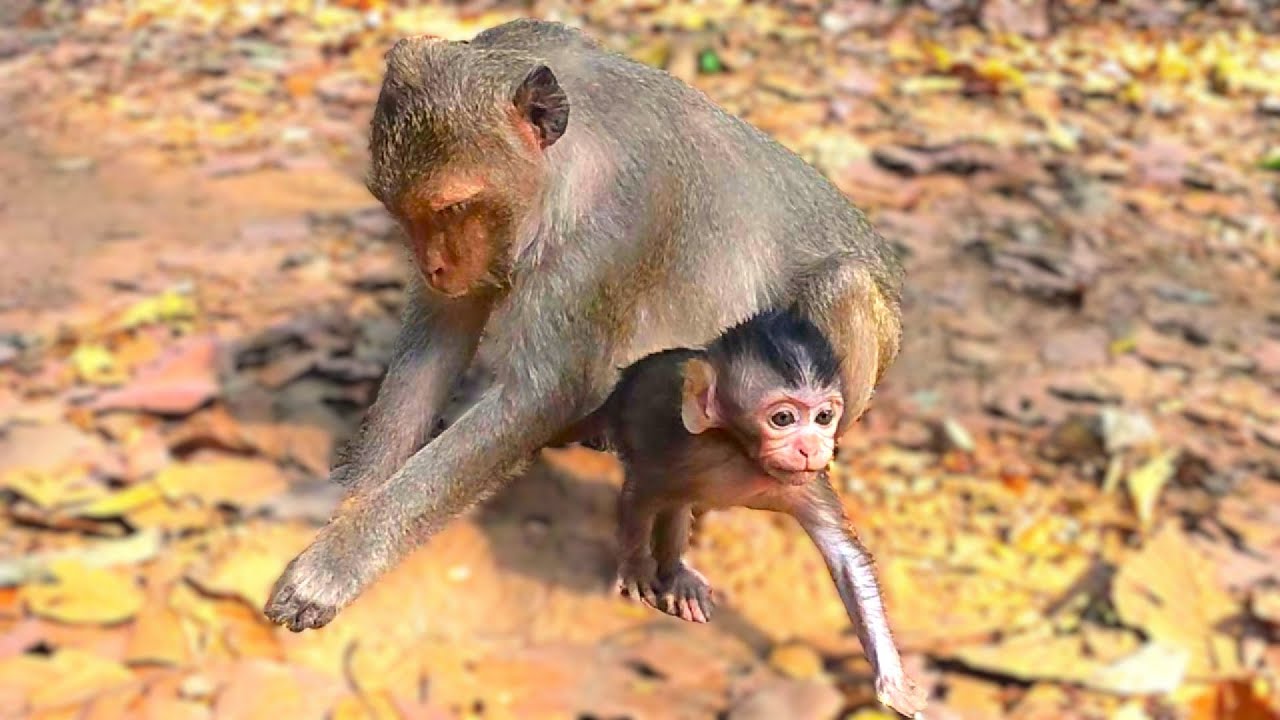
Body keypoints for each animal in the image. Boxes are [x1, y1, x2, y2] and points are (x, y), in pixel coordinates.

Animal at [264, 18, 904, 652]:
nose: (433, 267)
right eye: (405, 214)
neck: (568, 163)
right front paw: (345, 497)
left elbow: (545, 391)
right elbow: (438, 341)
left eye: (453, 208)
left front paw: (331, 570)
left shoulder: (609, 234)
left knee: (842, 284)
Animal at [575, 308, 926, 718]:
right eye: (783, 419)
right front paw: (634, 570)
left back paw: (677, 578)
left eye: (824, 417)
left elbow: (845, 558)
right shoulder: (682, 452)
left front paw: (893, 682)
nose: (811, 447)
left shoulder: (806, 482)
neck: (744, 456)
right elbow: (639, 497)